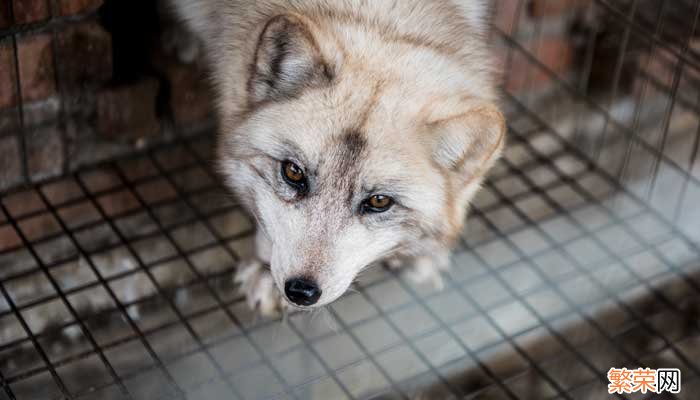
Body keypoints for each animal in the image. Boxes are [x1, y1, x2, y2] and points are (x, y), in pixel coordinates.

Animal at [167, 0, 506, 318]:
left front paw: (423, 256)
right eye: (293, 172)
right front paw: (264, 269)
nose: (300, 291)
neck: (378, 18)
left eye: (379, 202)